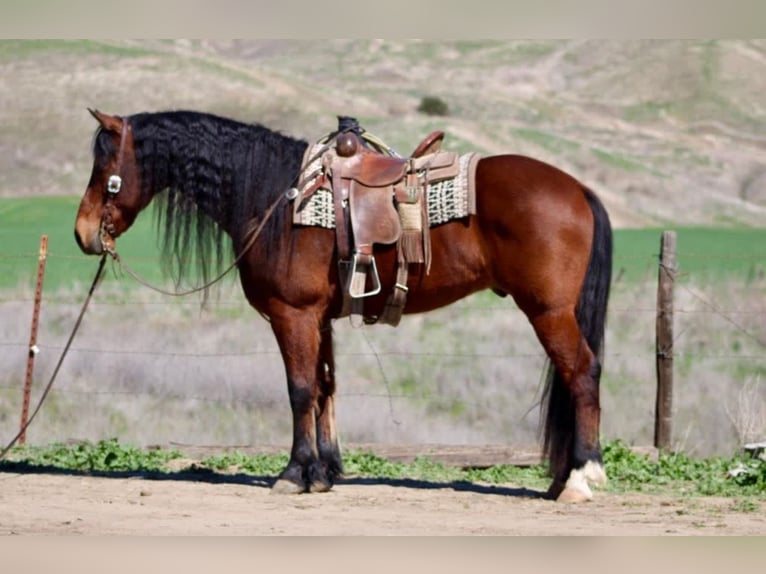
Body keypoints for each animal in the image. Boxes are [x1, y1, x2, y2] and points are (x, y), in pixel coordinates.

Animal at [75, 109, 616, 504]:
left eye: (106, 171)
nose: (82, 234)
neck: (277, 197)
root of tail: (578, 189)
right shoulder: (319, 319)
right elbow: (324, 389)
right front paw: (323, 472)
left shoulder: (292, 314)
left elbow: (298, 391)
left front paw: (294, 473)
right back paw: (561, 479)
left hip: (549, 313)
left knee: (582, 374)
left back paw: (581, 478)